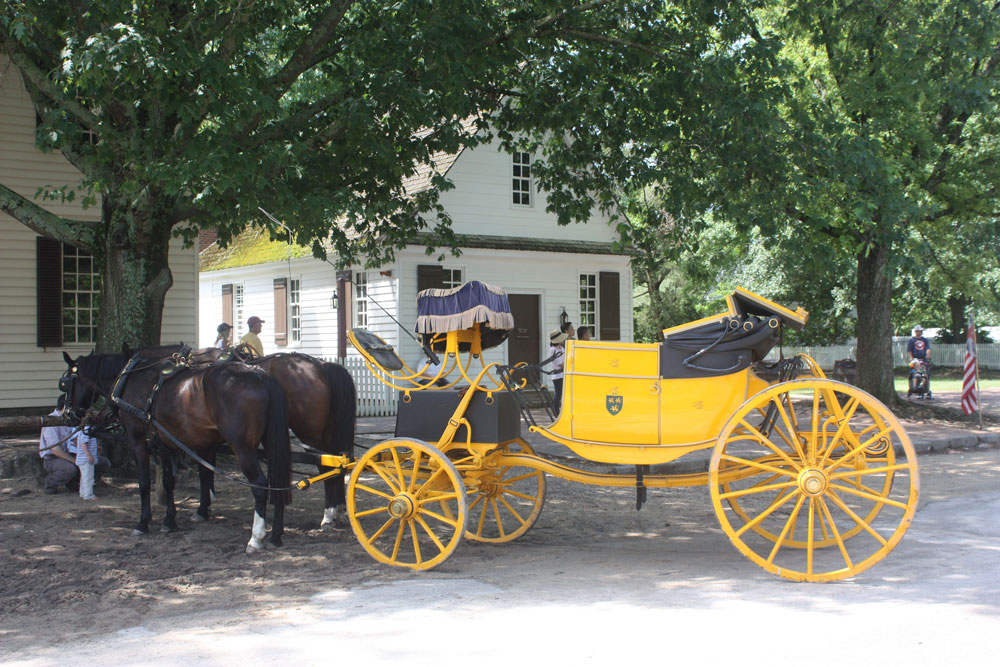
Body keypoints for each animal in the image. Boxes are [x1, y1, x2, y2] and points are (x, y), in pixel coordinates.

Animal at [62, 350, 292, 552]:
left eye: (64, 384)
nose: (67, 413)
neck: (131, 379)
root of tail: (259, 374)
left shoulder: (137, 443)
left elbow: (144, 484)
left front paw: (142, 523)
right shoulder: (164, 445)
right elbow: (168, 482)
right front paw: (169, 521)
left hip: (243, 448)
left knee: (260, 485)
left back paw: (256, 537)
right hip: (268, 443)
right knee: (277, 483)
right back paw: (276, 535)